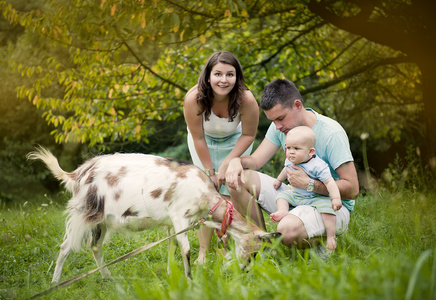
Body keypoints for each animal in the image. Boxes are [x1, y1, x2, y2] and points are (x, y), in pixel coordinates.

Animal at [27, 148, 280, 284]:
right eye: (254, 252)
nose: (246, 271)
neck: (206, 197)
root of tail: (77, 174)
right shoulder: (179, 216)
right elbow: (186, 249)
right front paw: (189, 280)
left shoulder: (171, 222)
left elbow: (171, 246)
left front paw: (171, 274)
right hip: (84, 212)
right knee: (66, 246)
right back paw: (55, 282)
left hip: (103, 220)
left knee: (95, 246)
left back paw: (108, 277)